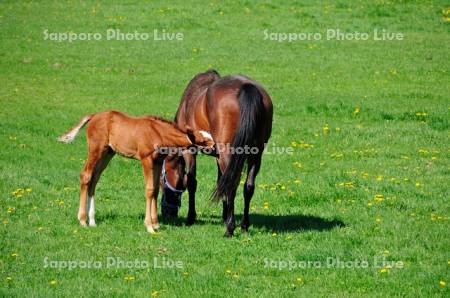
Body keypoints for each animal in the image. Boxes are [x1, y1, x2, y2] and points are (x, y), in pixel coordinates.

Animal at [58, 109, 213, 233]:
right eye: (204, 141)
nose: (216, 148)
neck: (158, 133)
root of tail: (93, 116)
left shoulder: (158, 162)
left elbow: (156, 190)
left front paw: (156, 224)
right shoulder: (146, 159)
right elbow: (149, 190)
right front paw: (149, 226)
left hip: (107, 153)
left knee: (94, 179)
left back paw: (92, 221)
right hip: (96, 149)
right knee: (85, 175)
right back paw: (82, 220)